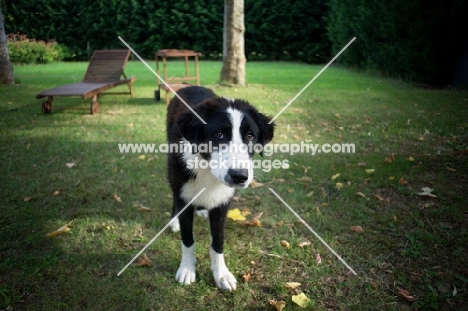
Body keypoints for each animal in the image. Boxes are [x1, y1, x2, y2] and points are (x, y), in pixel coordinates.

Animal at [166, 86, 274, 292]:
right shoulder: (182, 187)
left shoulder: (223, 203)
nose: (239, 176)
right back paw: (174, 221)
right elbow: (188, 239)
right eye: (219, 134)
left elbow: (218, 242)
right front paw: (187, 270)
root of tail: (188, 86)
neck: (207, 168)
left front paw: (221, 275)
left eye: (250, 136)